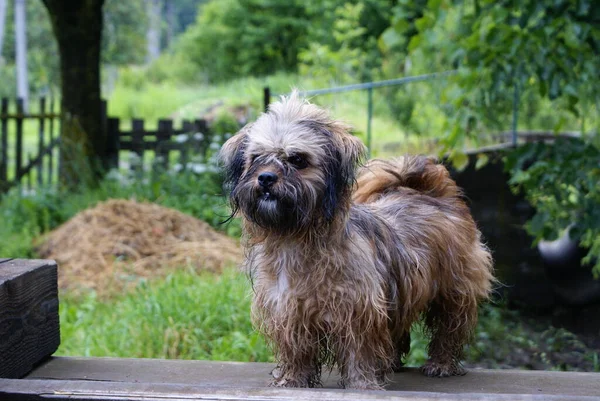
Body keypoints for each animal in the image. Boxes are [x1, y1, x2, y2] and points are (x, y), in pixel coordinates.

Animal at [218, 91, 494, 388]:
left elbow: (358, 351)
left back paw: (441, 363)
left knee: (449, 328)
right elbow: (296, 350)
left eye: (298, 159)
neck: (295, 238)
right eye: (256, 157)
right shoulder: (289, 310)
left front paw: (361, 384)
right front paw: (293, 380)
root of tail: (432, 194)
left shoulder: (358, 310)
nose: (266, 178)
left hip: (454, 289)